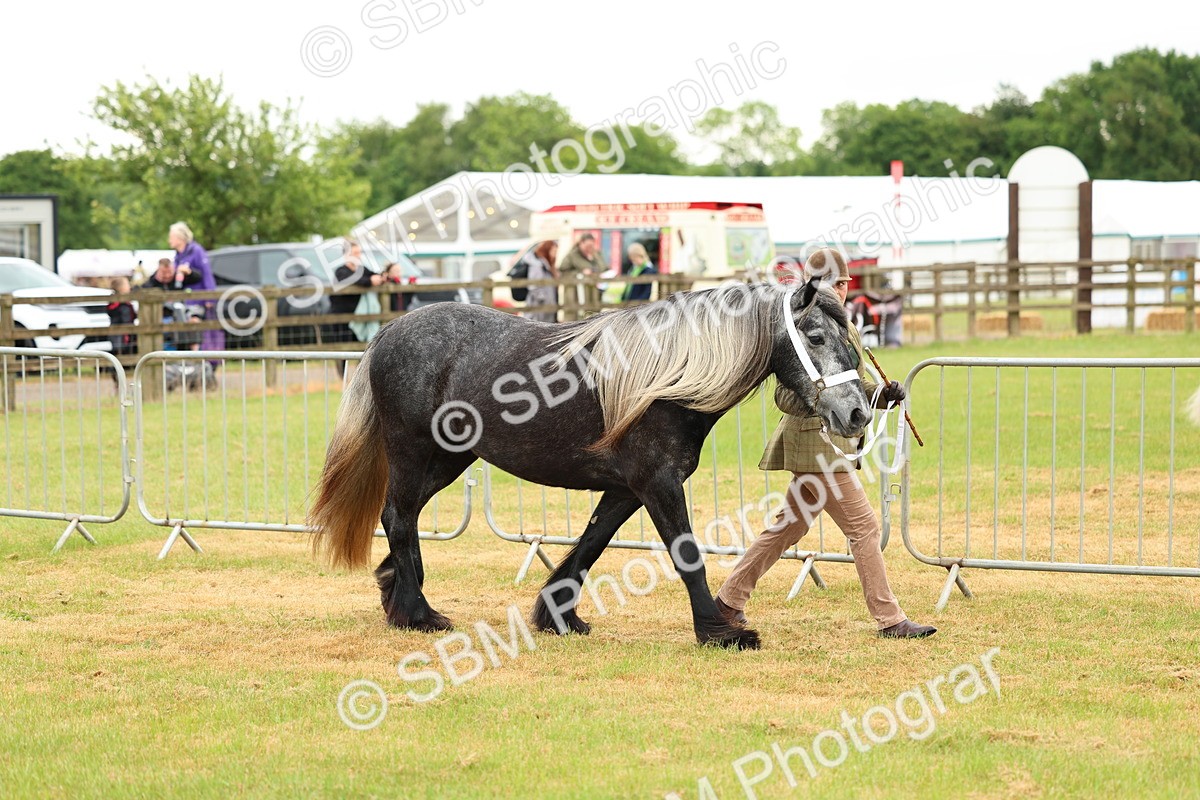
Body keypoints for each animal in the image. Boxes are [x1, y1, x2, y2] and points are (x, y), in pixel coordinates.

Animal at [308, 277, 870, 650]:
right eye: (815, 337)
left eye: (851, 339)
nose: (858, 412)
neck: (669, 378)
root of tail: (388, 333)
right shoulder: (658, 483)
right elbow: (687, 556)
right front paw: (718, 631)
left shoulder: (626, 489)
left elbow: (590, 546)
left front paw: (559, 617)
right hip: (413, 451)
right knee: (398, 517)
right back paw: (418, 613)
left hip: (449, 460)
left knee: (401, 518)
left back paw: (396, 595)